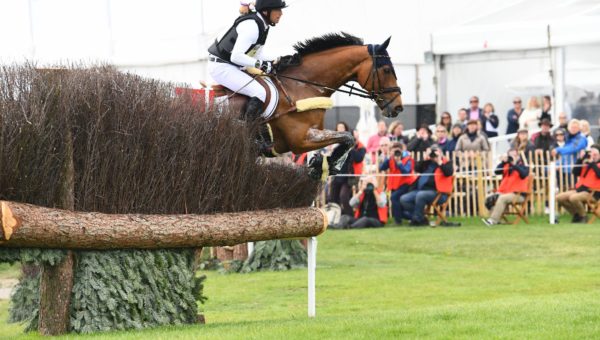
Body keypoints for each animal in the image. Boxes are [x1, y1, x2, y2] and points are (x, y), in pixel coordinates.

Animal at [211, 32, 404, 179]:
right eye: (387, 70)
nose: (398, 107)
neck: (302, 86)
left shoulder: (315, 132)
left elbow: (346, 139)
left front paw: (321, 164)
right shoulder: (300, 140)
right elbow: (348, 137)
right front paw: (327, 164)